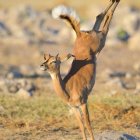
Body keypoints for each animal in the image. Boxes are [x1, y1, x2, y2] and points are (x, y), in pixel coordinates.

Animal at [40, 0, 120, 139]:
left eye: (54, 61)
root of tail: (79, 34)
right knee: (99, 16)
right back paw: (113, 2)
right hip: (98, 38)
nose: (42, 66)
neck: (68, 91)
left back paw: (116, 1)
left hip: (102, 39)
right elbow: (82, 127)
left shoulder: (83, 103)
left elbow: (88, 125)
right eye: (45, 60)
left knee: (107, 21)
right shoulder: (74, 108)